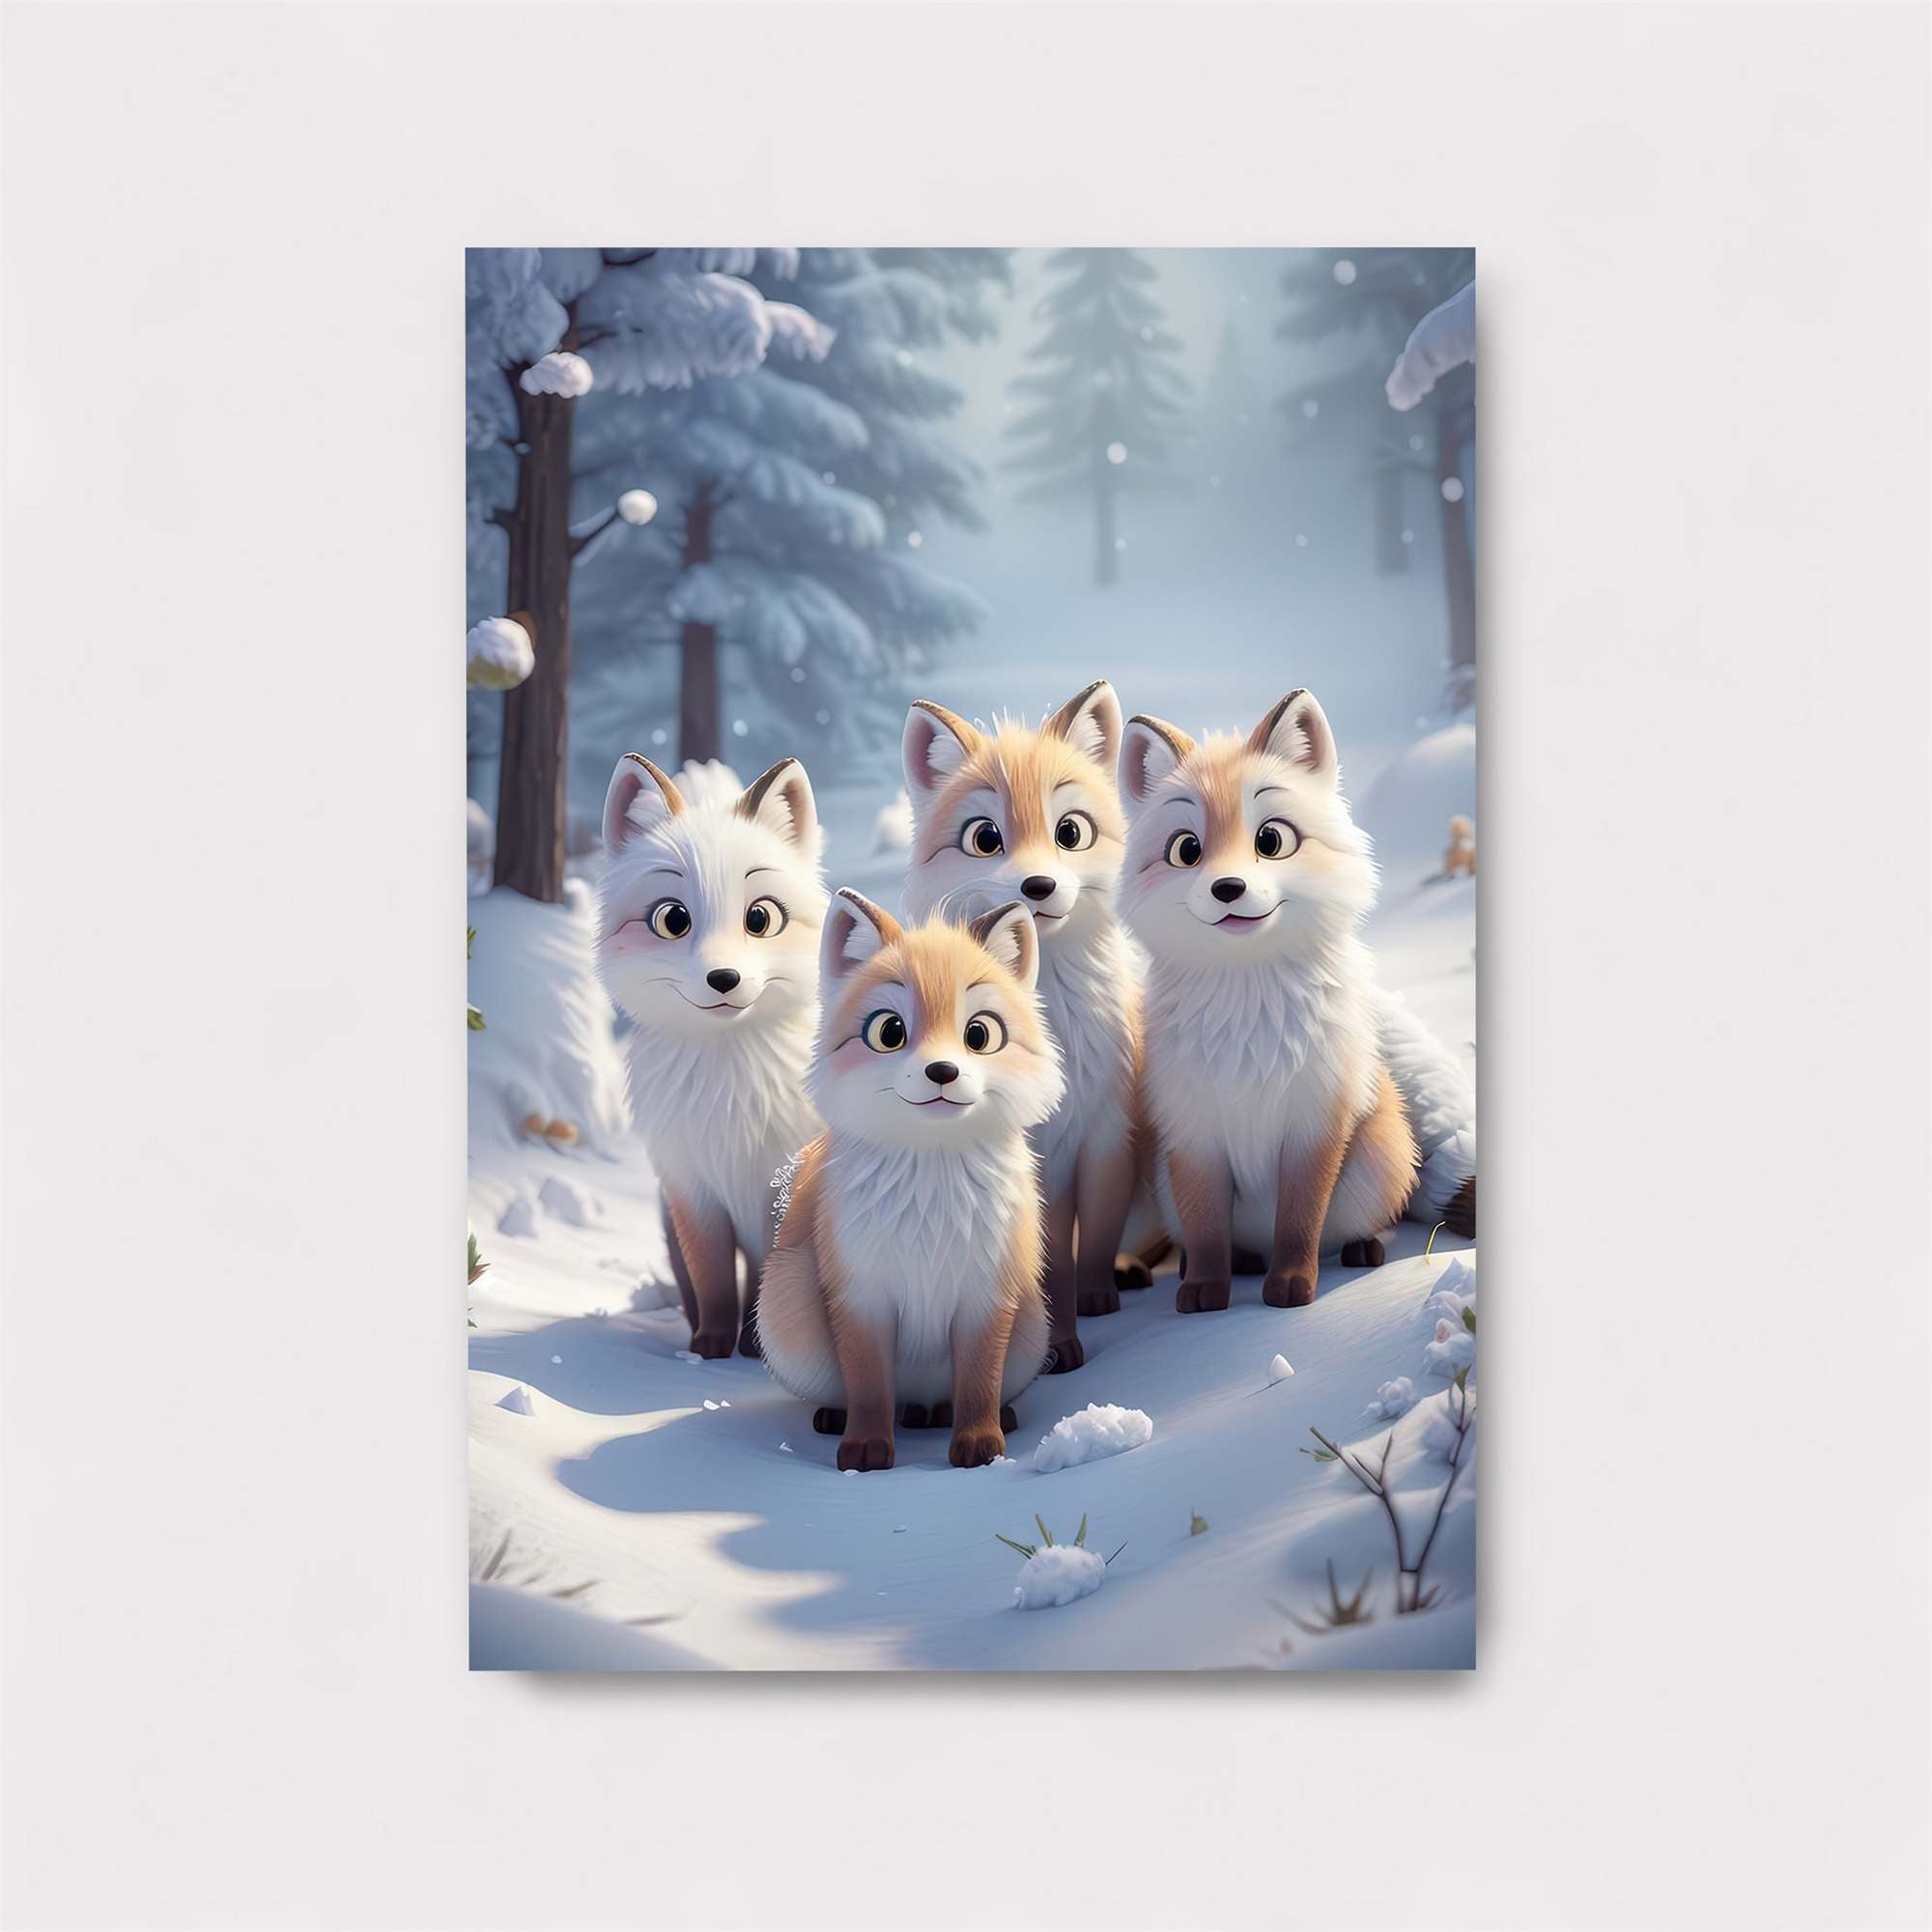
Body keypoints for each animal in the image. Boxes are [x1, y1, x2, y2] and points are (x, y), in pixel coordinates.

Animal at [597, 751, 827, 1360]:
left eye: (761, 918)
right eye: (673, 920)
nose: (723, 979)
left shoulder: (781, 1190)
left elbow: (767, 1281)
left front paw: (756, 1348)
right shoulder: (694, 1194)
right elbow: (715, 1281)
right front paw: (710, 1350)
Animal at [755, 893, 1063, 1472]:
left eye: (979, 1034)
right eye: (889, 1032)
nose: (942, 1071)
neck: (930, 1198)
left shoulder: (987, 1294)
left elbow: (979, 1384)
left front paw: (979, 1445)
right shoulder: (861, 1297)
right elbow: (869, 1386)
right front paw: (864, 1451)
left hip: (1033, 1328)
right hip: (788, 1307)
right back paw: (838, 1418)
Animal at [1119, 688, 1473, 1312]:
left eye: (1270, 840)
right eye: (1187, 850)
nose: (1228, 888)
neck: (1247, 1018)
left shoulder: (1314, 1124)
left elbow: (1300, 1221)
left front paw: (1290, 1289)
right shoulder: (1194, 1135)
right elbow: (1205, 1228)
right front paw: (1204, 1290)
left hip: (1379, 1162)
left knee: (1359, 1228)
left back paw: (1362, 1250)